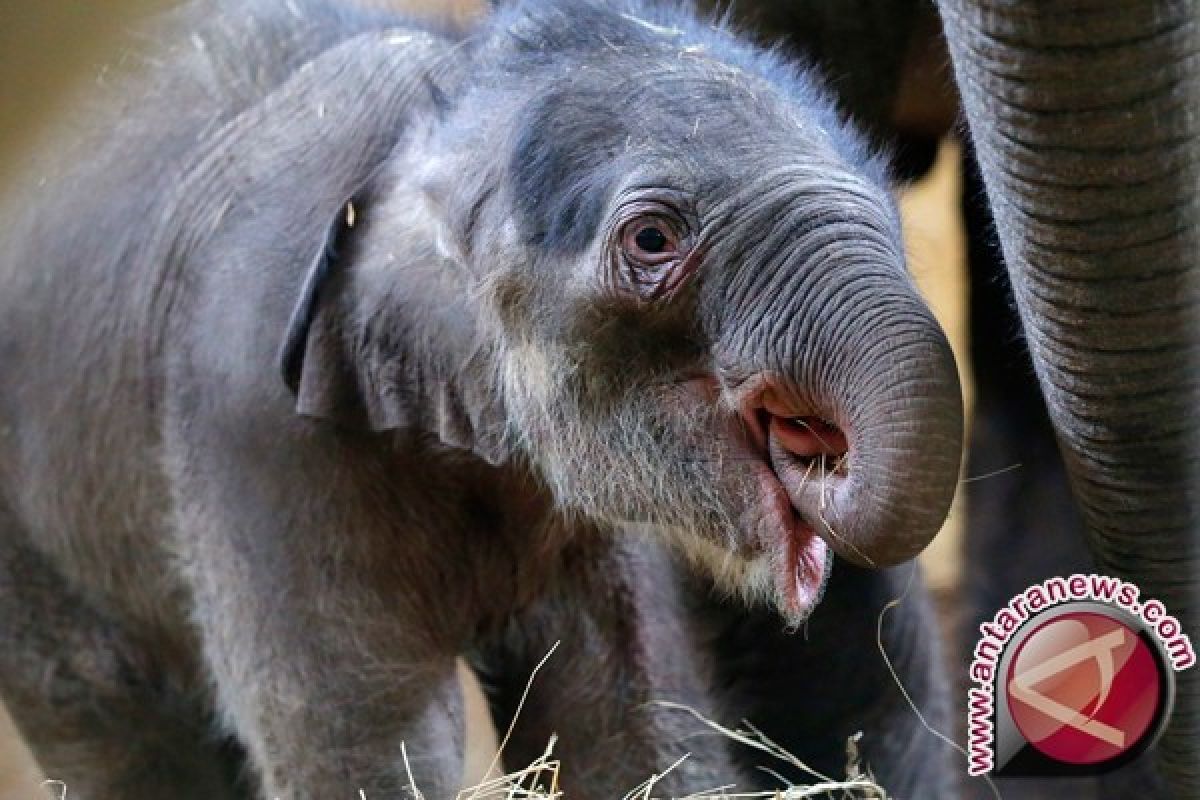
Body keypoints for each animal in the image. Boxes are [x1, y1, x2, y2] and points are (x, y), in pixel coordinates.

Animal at [0, 0, 960, 796]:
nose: (818, 448)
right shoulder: (249, 419)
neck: (435, 112)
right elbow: (366, 738)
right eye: (653, 239)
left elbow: (627, 722)